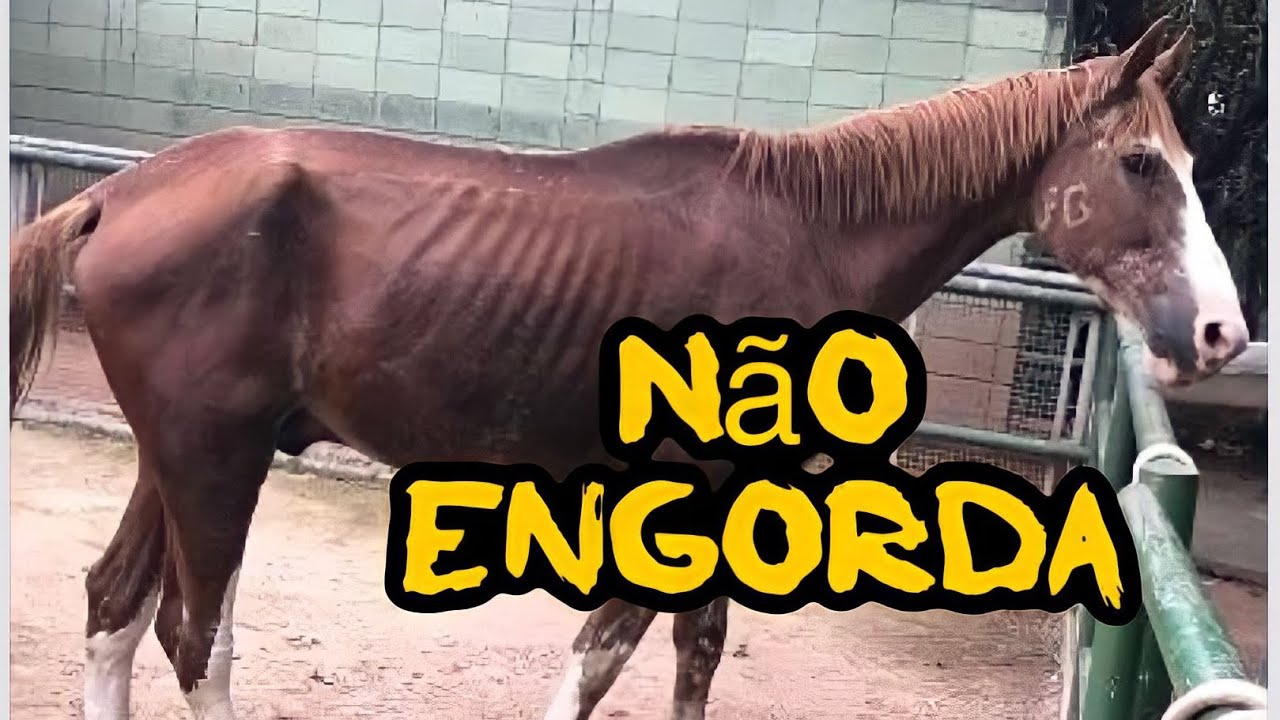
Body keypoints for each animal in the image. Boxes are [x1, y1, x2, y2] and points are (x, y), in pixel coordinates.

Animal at [9, 16, 1247, 720]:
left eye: (1186, 161)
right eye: (1141, 162)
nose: (1220, 333)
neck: (804, 232)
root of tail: (118, 192)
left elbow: (696, 652)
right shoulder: (684, 483)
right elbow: (602, 654)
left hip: (180, 455)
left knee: (115, 609)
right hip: (212, 462)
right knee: (190, 638)